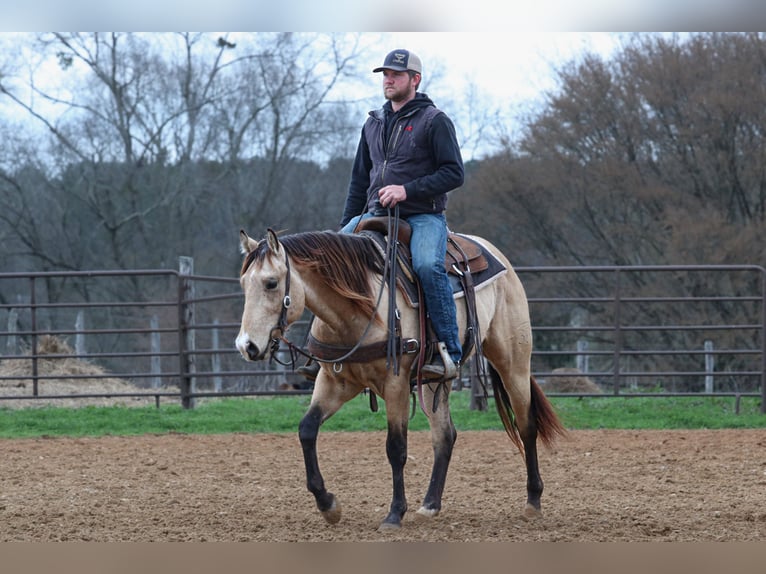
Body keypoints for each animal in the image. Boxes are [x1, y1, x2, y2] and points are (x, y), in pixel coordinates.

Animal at [237, 227, 568, 532]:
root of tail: (497, 256)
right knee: (445, 436)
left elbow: (396, 448)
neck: (360, 309)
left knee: (526, 425)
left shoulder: (395, 384)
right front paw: (328, 504)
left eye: (271, 282)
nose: (246, 346)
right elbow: (307, 430)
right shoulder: (334, 383)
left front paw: (394, 514)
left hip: (513, 363)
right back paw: (429, 506)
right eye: (243, 284)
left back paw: (533, 502)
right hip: (435, 381)